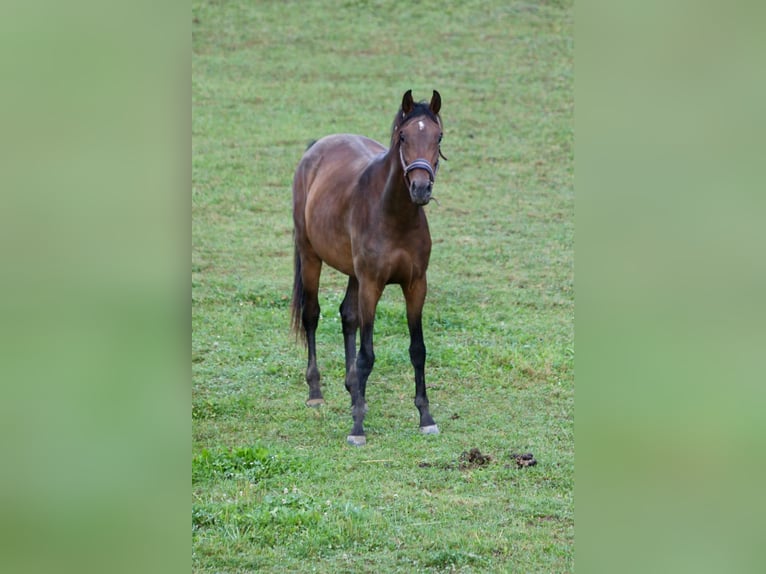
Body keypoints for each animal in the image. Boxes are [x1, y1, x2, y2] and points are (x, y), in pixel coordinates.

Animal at [291, 89, 445, 446]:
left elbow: (417, 349)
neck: (394, 214)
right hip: (311, 257)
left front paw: (425, 417)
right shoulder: (372, 284)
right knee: (312, 315)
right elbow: (367, 354)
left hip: (353, 275)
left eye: (438, 136)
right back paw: (316, 392)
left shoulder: (416, 285)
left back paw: (353, 391)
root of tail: (316, 148)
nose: (421, 188)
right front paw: (357, 427)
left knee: (347, 316)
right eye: (403, 136)